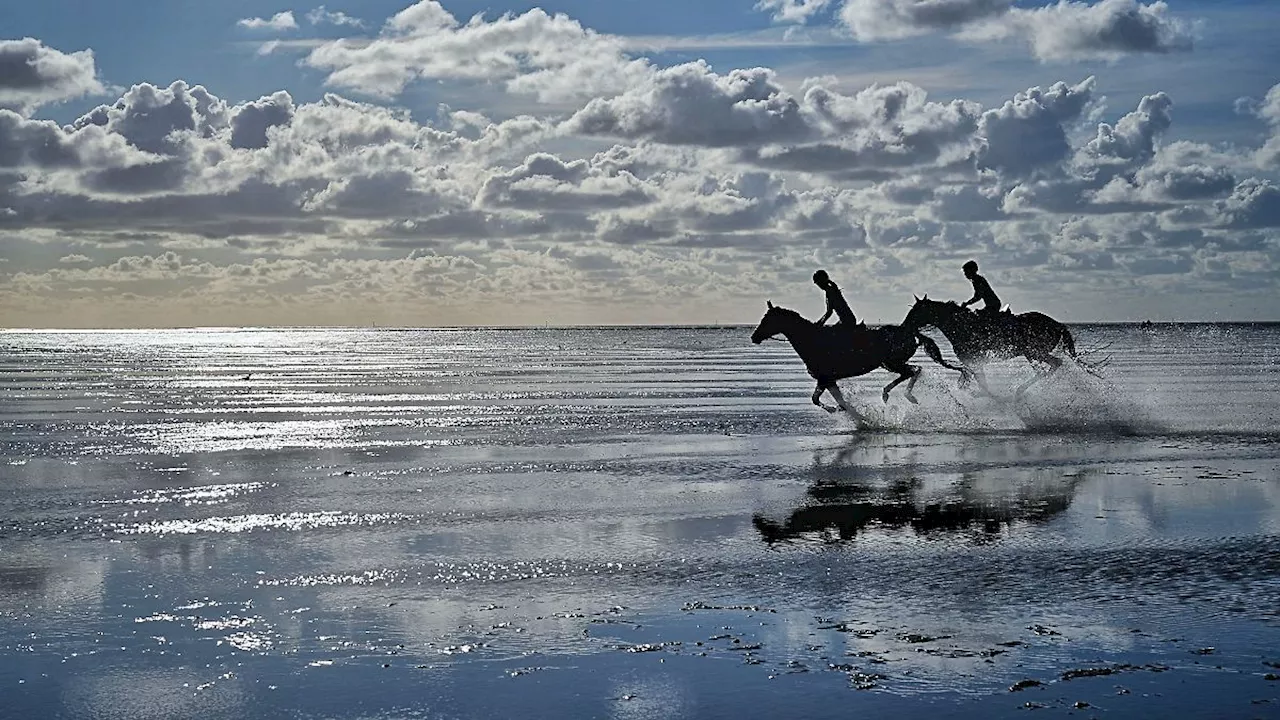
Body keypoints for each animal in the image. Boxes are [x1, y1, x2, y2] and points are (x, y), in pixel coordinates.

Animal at [747, 299, 962, 417]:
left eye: (768, 320)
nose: (754, 337)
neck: (812, 341)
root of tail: (908, 330)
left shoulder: (825, 378)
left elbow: (820, 400)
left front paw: (842, 411)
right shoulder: (826, 380)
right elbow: (820, 399)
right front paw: (845, 411)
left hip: (892, 362)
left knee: (913, 371)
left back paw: (902, 395)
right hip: (890, 363)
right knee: (913, 371)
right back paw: (891, 395)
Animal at [901, 295, 1080, 397]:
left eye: (917, 311)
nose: (904, 325)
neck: (960, 326)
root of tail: (1057, 325)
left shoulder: (973, 361)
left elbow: (980, 384)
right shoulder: (971, 363)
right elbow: (967, 382)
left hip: (1034, 352)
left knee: (1052, 365)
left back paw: (1020, 390)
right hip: (1032, 354)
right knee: (1046, 368)